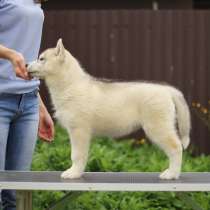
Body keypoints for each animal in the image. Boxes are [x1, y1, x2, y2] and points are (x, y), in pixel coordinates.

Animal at [27, 39, 190, 179]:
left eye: (41, 59)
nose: (26, 65)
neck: (70, 85)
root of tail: (167, 89)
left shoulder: (79, 131)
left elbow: (77, 155)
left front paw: (74, 173)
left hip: (158, 128)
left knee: (176, 147)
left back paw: (172, 174)